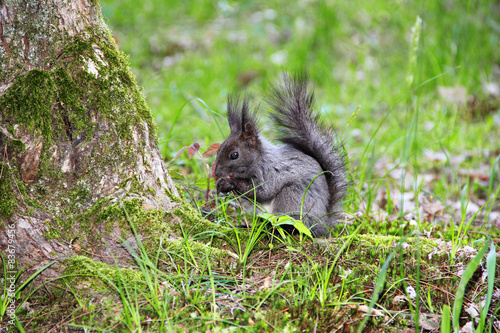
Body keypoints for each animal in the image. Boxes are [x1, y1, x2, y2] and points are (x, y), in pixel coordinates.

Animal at [214, 72, 348, 237]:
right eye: (219, 150)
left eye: (234, 155)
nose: (216, 173)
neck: (259, 159)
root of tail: (324, 223)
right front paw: (221, 184)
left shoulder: (271, 172)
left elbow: (262, 191)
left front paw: (231, 183)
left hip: (292, 199)